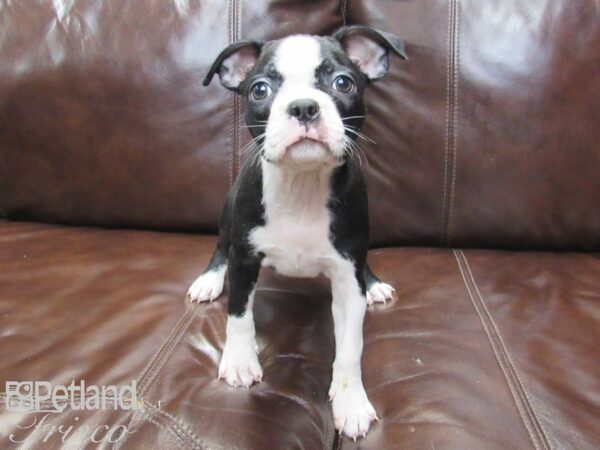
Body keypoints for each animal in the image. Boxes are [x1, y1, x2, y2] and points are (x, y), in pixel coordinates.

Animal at [188, 25, 406, 440]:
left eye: (343, 82)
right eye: (259, 89)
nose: (304, 106)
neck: (302, 185)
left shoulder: (346, 276)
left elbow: (351, 345)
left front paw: (350, 400)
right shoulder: (244, 258)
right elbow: (239, 314)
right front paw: (239, 360)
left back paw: (373, 284)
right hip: (228, 213)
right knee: (220, 247)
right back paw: (209, 279)